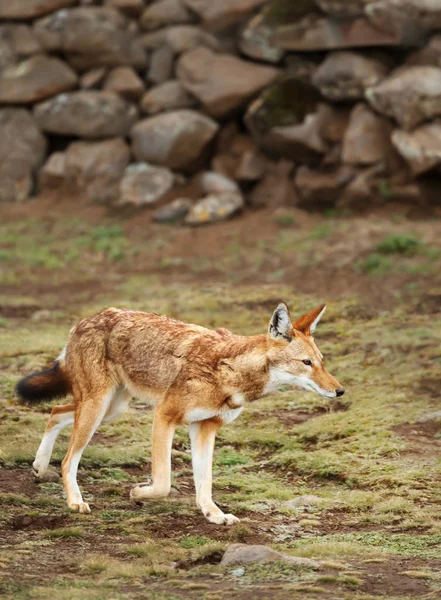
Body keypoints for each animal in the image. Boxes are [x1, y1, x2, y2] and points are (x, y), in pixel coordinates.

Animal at [16, 302, 344, 524]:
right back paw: (75, 501)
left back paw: (39, 466)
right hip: (97, 408)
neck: (229, 372)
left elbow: (204, 483)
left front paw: (214, 515)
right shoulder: (164, 416)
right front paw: (138, 493)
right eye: (306, 363)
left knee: (55, 411)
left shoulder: (205, 428)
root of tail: (83, 320)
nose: (340, 391)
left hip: (109, 409)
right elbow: (163, 483)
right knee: (68, 457)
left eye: (321, 361)